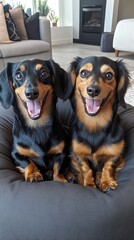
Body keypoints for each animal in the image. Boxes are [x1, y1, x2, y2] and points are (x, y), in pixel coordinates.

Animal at [66, 55, 130, 191]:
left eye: (108, 75)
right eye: (84, 73)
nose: (93, 90)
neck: (94, 122)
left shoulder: (117, 153)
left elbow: (108, 166)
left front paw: (106, 181)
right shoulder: (77, 153)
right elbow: (86, 168)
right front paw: (89, 184)